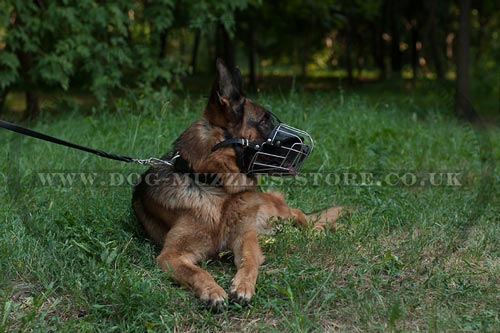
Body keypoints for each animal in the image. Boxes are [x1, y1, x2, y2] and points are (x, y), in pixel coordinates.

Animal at [133, 58, 344, 310]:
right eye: (264, 121)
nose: (305, 146)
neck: (216, 187)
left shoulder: (244, 238)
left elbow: (249, 259)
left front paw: (243, 286)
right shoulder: (171, 255)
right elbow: (196, 272)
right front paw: (212, 290)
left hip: (278, 212)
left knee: (303, 216)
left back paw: (322, 230)